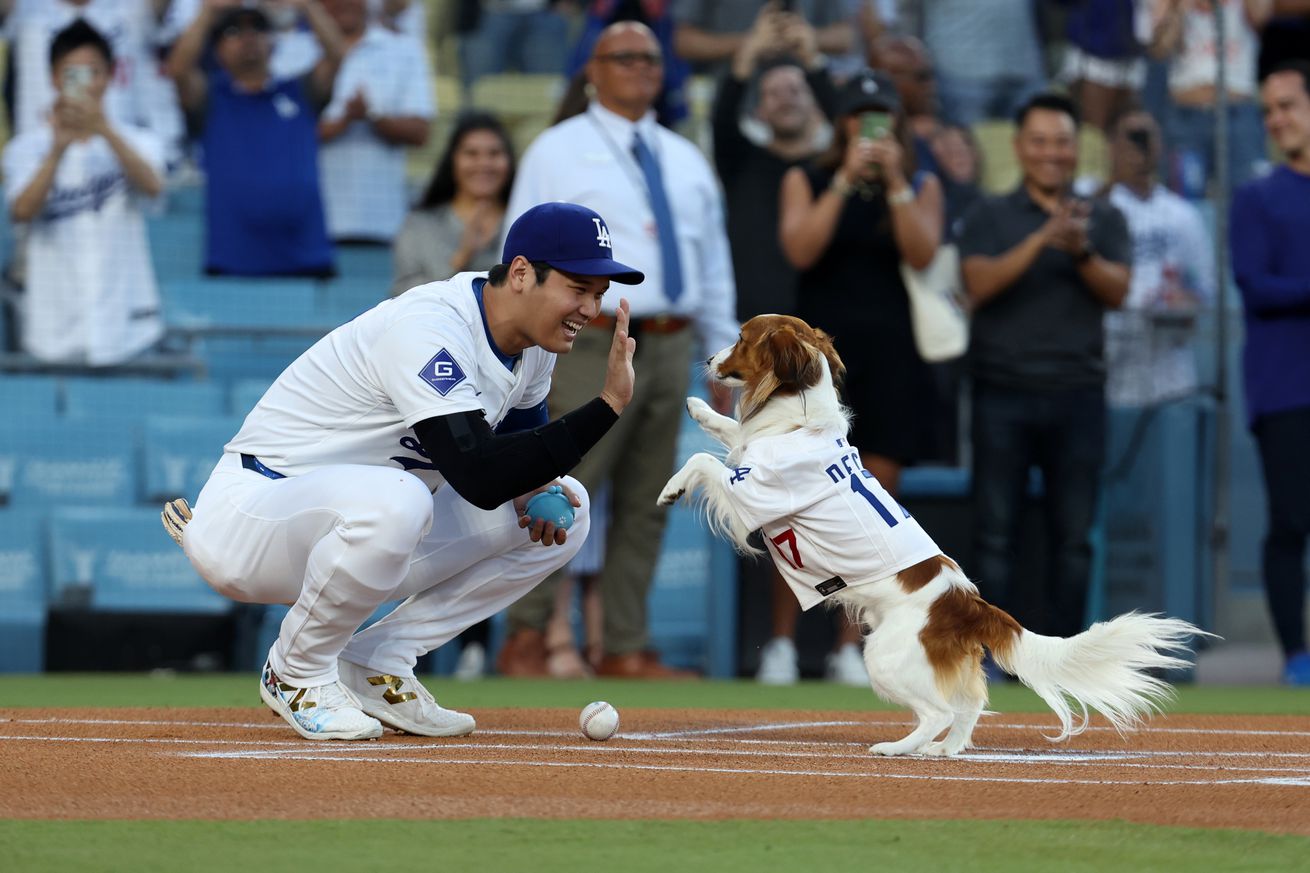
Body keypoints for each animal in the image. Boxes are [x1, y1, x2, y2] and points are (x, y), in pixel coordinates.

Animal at [660, 314, 1210, 755]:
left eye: (740, 337)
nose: (708, 357)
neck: (798, 421)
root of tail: (972, 604)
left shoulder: (752, 498)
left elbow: (704, 459)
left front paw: (672, 486)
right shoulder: (748, 452)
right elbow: (731, 434)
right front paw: (699, 409)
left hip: (883, 656)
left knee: (939, 712)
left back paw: (898, 749)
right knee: (968, 708)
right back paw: (944, 752)